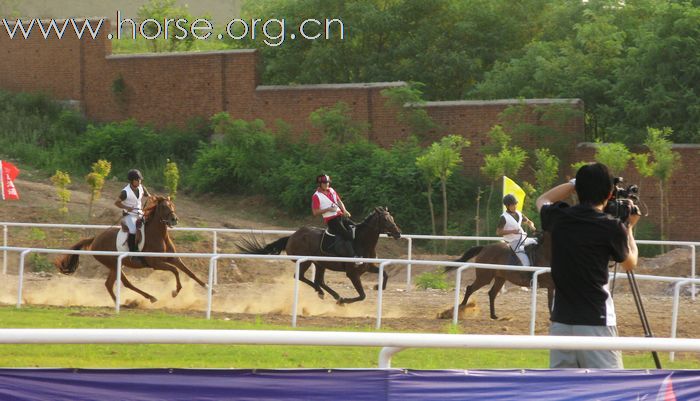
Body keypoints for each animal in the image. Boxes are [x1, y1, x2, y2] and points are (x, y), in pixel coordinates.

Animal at [54, 195, 208, 302]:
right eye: (164, 207)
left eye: (172, 205)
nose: (174, 220)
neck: (159, 235)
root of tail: (95, 238)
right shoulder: (155, 263)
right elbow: (175, 270)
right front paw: (175, 292)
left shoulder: (172, 258)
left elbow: (188, 271)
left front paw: (207, 287)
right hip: (114, 264)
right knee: (126, 283)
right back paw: (148, 298)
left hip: (115, 265)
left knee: (109, 284)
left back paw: (121, 302)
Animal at [237, 206, 402, 304]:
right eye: (385, 219)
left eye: (392, 218)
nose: (398, 233)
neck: (361, 242)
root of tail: (292, 236)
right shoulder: (352, 274)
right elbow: (362, 295)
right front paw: (344, 301)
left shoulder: (368, 267)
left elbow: (385, 274)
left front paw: (377, 286)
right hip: (306, 261)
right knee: (301, 277)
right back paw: (326, 294)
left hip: (320, 263)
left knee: (319, 281)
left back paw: (330, 294)